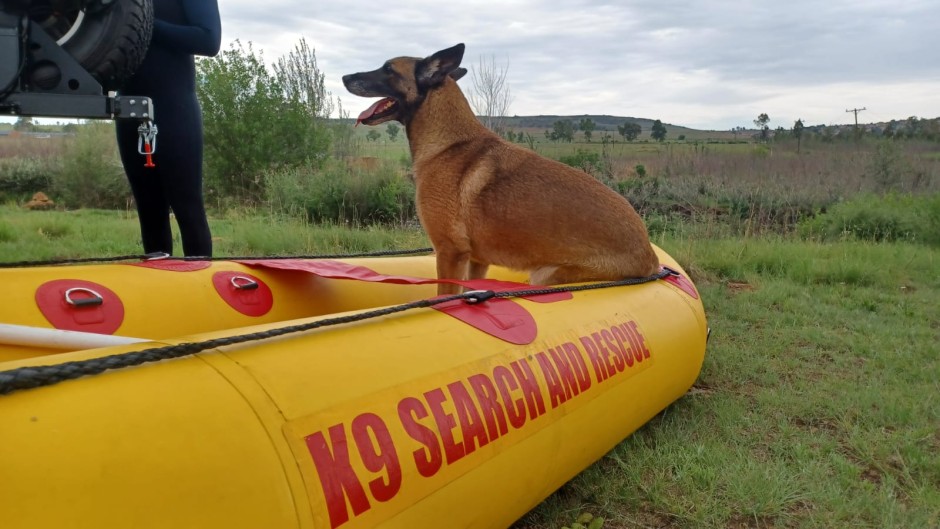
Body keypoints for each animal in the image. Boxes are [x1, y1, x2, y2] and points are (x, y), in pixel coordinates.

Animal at [342, 43, 656, 294]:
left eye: (387, 68)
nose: (344, 77)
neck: (448, 142)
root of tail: (651, 259)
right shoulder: (476, 260)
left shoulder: (449, 252)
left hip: (544, 275)